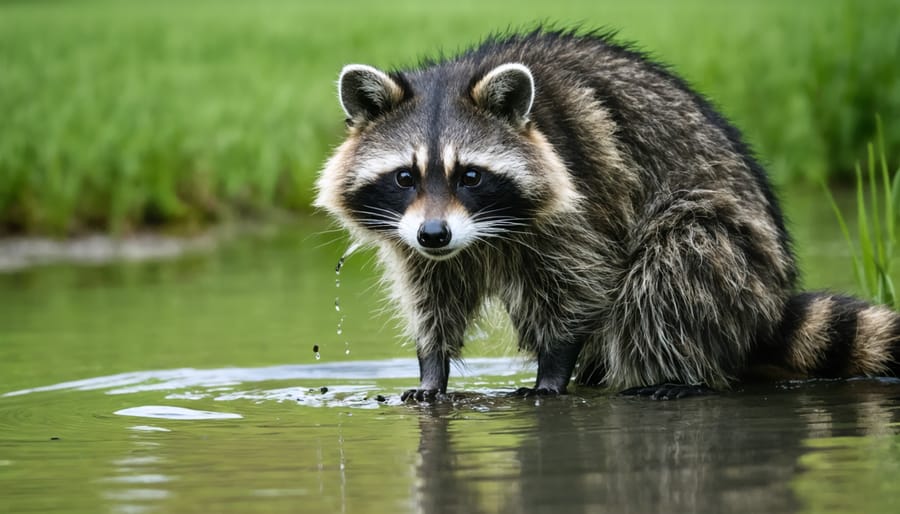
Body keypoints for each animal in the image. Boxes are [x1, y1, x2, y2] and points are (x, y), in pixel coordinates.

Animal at [315, 29, 900, 400]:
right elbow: (435, 294)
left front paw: (553, 367)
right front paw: (432, 367)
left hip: (735, 254)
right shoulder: (416, 236)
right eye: (405, 177)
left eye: (471, 176)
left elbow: (582, 283)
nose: (435, 234)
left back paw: (681, 373)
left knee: (674, 261)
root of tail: (771, 300)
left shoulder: (581, 196)